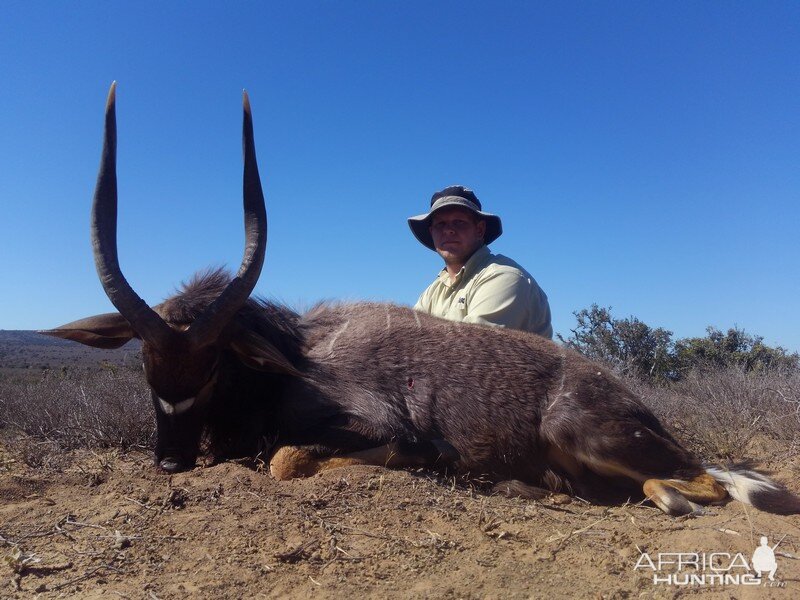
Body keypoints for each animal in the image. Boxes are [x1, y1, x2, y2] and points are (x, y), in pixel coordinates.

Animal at [43, 82, 800, 516]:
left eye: (212, 365)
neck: (297, 356)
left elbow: (289, 459)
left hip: (583, 432)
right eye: (147, 365)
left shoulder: (388, 431)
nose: (170, 460)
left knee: (700, 484)